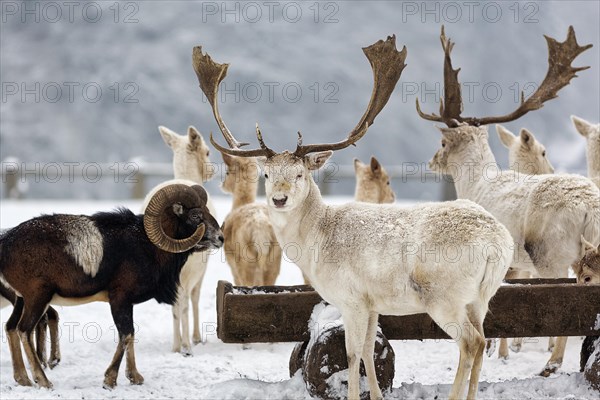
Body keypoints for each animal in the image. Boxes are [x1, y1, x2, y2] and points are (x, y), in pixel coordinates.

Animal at [220, 152, 284, 286]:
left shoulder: (233, 268)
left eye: (227, 172)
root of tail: (260, 229)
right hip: (274, 263)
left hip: (245, 263)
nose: (222, 184)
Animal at [418, 26, 600, 376]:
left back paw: (552, 362)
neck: (475, 184)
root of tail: (591, 208)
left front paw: (492, 349)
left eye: (443, 143)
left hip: (551, 255)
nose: (432, 161)